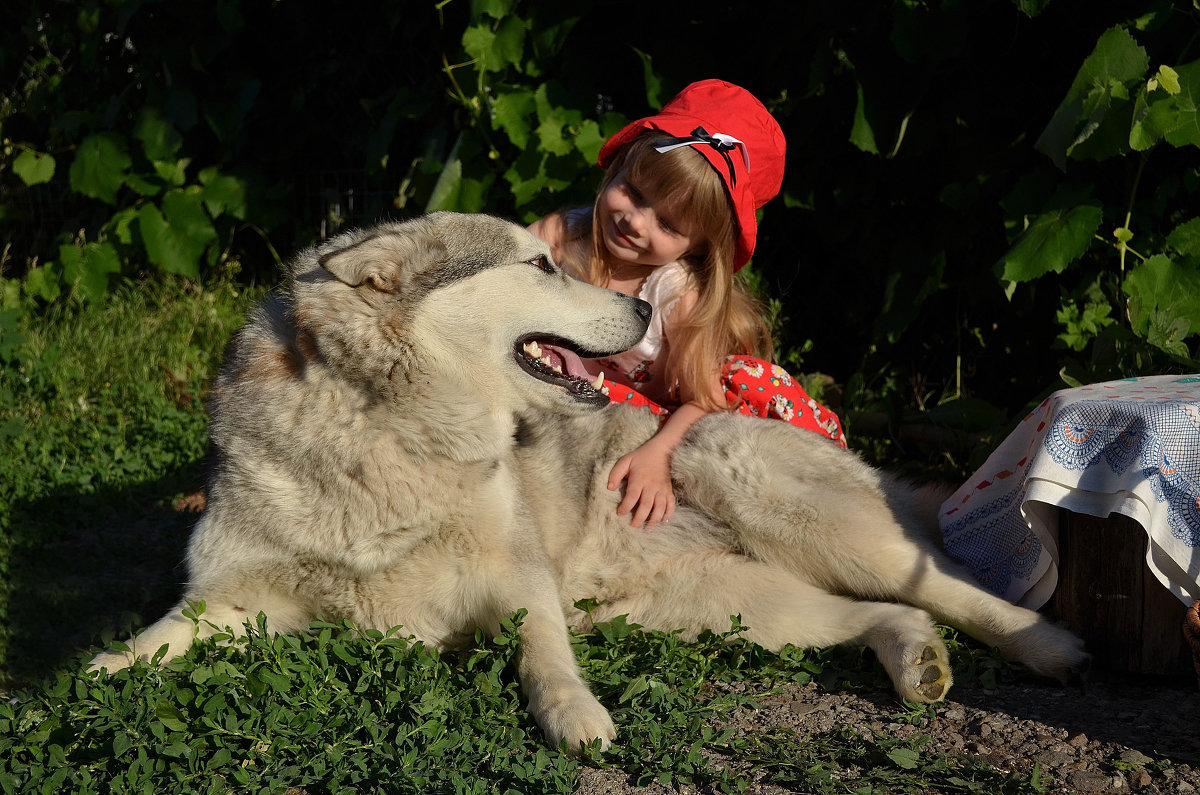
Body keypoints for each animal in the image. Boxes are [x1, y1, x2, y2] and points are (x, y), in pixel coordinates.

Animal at [91, 211, 1089, 754]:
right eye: (540, 265)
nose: (645, 308)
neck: (384, 430)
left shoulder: (519, 578)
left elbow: (545, 657)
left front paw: (576, 717)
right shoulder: (232, 597)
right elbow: (157, 638)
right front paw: (88, 678)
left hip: (767, 493)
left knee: (950, 586)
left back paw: (1050, 648)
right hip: (732, 611)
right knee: (889, 610)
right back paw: (916, 661)